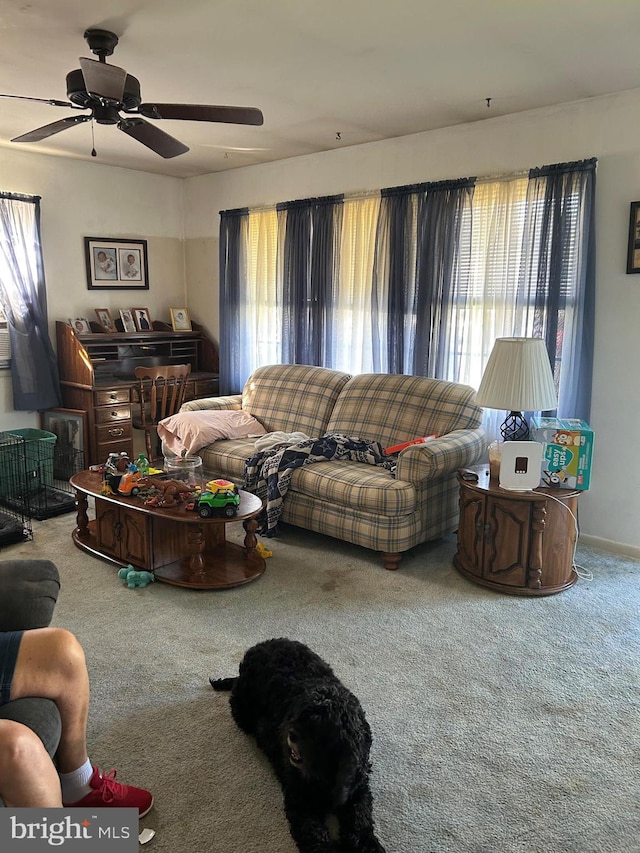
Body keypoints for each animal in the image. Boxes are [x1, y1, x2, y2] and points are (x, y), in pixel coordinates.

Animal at [212, 636, 388, 848]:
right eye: (300, 716)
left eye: (318, 727)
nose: (290, 733)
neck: (326, 771)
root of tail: (260, 645)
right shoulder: (300, 800)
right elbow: (314, 834)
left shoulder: (357, 790)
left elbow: (360, 818)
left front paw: (368, 843)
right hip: (242, 710)